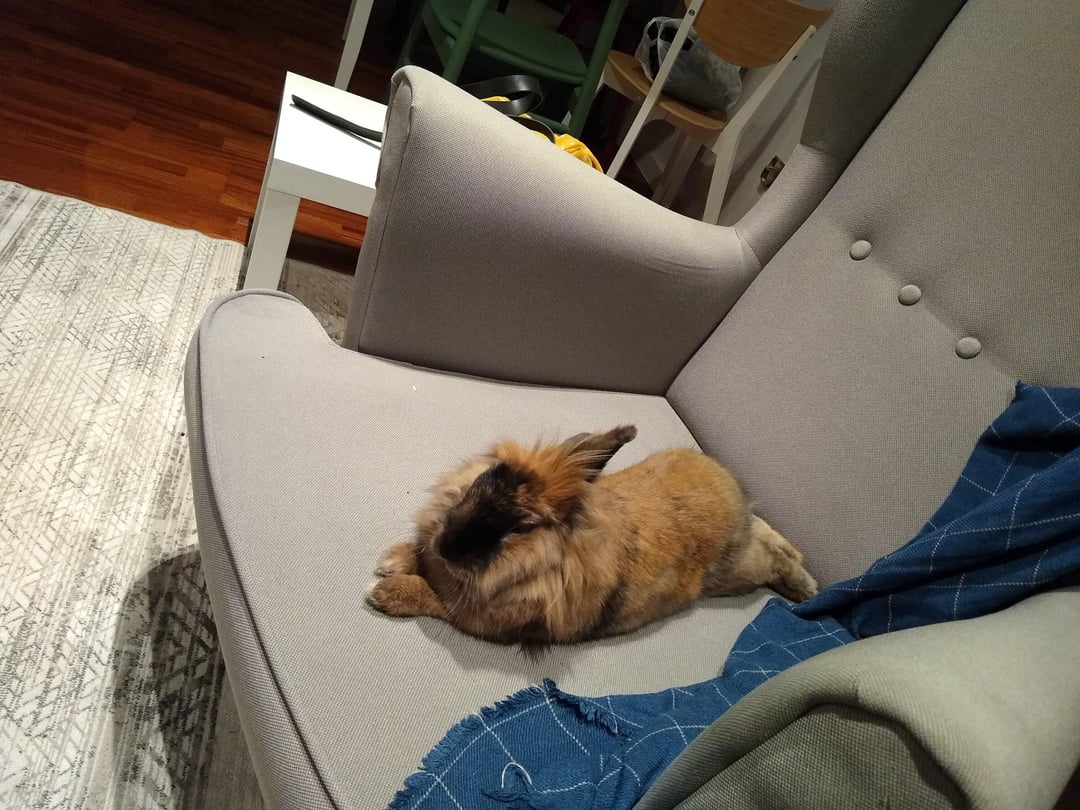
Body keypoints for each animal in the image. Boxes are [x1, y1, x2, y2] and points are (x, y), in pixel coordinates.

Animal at [366, 425, 818, 645]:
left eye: (520, 528)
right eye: (485, 478)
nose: (448, 546)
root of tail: (731, 484)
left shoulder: (474, 617)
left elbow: (430, 596)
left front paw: (382, 593)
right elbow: (419, 558)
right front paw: (391, 559)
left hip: (734, 571)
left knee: (774, 557)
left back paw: (806, 589)